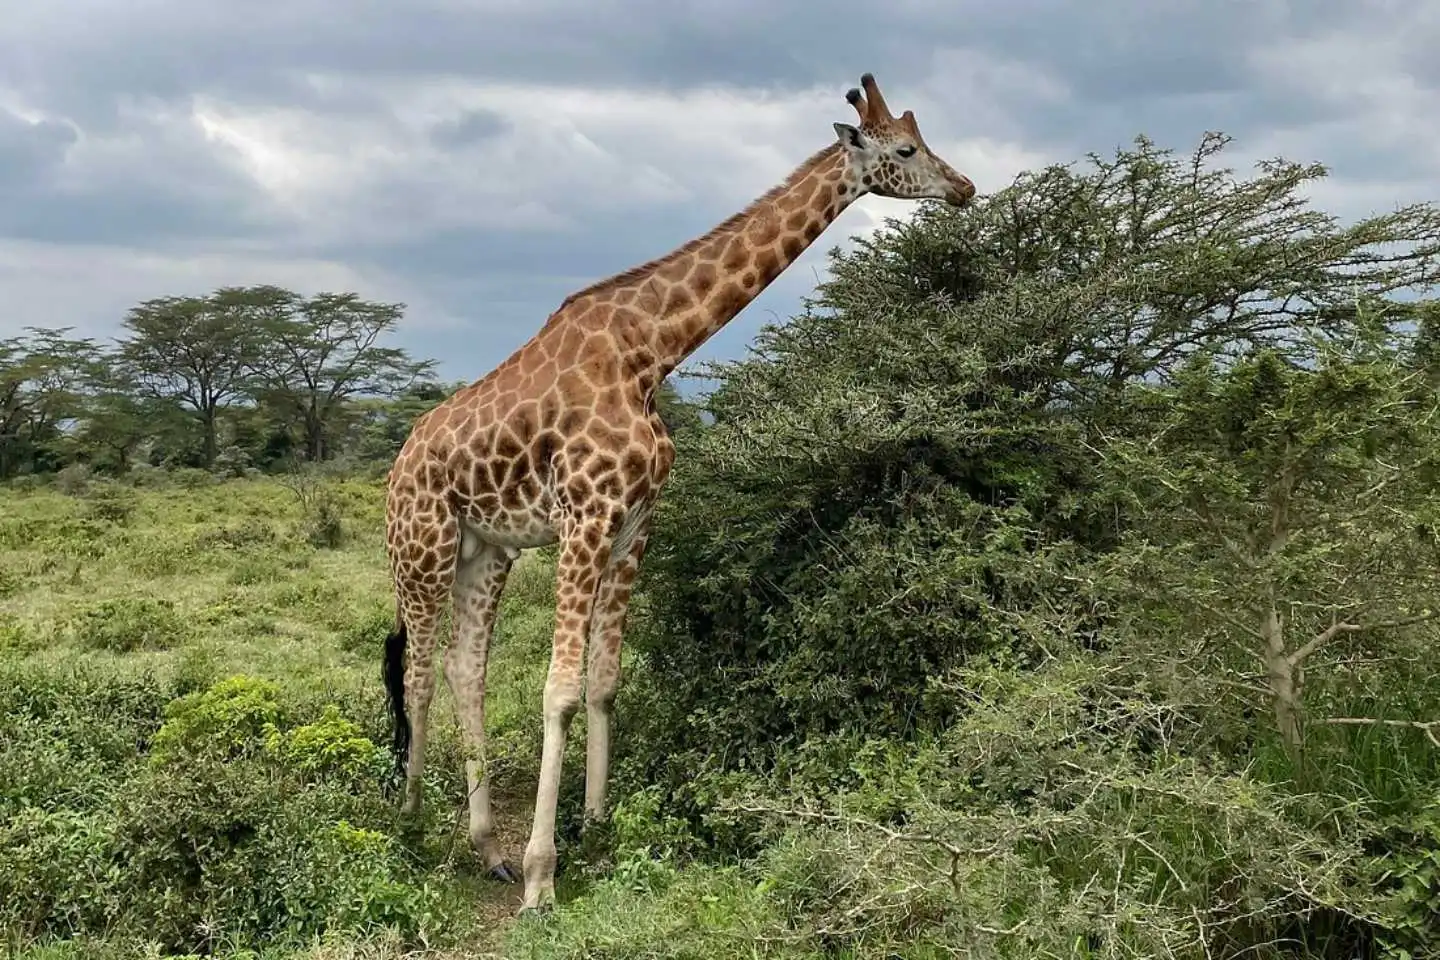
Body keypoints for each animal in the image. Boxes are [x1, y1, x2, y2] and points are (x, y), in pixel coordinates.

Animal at [380, 72, 977, 913]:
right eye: (907, 150)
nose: (964, 187)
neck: (650, 353)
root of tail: (397, 464)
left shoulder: (635, 525)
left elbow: (603, 682)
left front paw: (595, 831)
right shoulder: (587, 518)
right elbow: (559, 690)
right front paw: (542, 876)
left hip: (486, 550)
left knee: (468, 668)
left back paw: (483, 845)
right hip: (422, 548)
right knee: (420, 673)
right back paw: (411, 824)